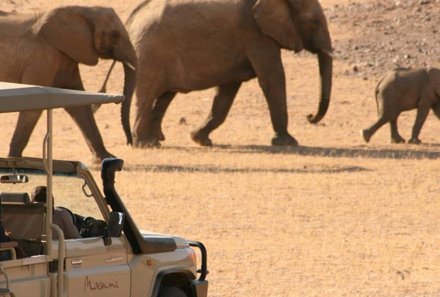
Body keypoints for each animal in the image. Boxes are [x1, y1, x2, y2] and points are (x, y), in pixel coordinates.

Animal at [0, 5, 136, 161]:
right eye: (114, 34)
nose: (130, 142)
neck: (83, 9)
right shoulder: (42, 56)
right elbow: (34, 106)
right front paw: (14, 159)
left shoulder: (67, 57)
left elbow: (79, 105)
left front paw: (107, 158)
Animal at [118, 0, 332, 147]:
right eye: (313, 22)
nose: (309, 116)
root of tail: (131, 20)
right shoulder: (257, 35)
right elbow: (273, 79)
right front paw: (288, 142)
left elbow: (227, 90)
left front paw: (200, 139)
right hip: (149, 53)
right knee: (147, 96)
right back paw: (145, 144)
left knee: (164, 96)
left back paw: (156, 139)